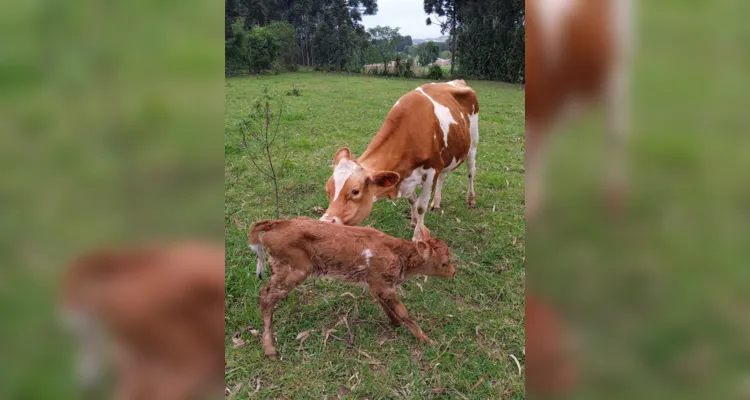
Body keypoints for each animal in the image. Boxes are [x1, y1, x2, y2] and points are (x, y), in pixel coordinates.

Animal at [250, 216, 456, 360]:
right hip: (295, 269)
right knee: (266, 296)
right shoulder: (382, 284)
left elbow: (386, 305)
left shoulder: (376, 284)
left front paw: (394, 322)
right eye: (444, 263)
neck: (398, 255)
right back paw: (269, 348)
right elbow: (403, 311)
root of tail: (279, 224)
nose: (453, 272)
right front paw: (424, 339)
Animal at [320, 79, 478, 239]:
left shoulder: (432, 169)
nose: (325, 222)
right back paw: (436, 202)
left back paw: (471, 199)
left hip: (473, 143)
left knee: (471, 171)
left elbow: (421, 206)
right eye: (327, 190)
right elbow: (412, 199)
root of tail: (457, 81)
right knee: (443, 176)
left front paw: (417, 236)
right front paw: (414, 221)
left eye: (355, 191)